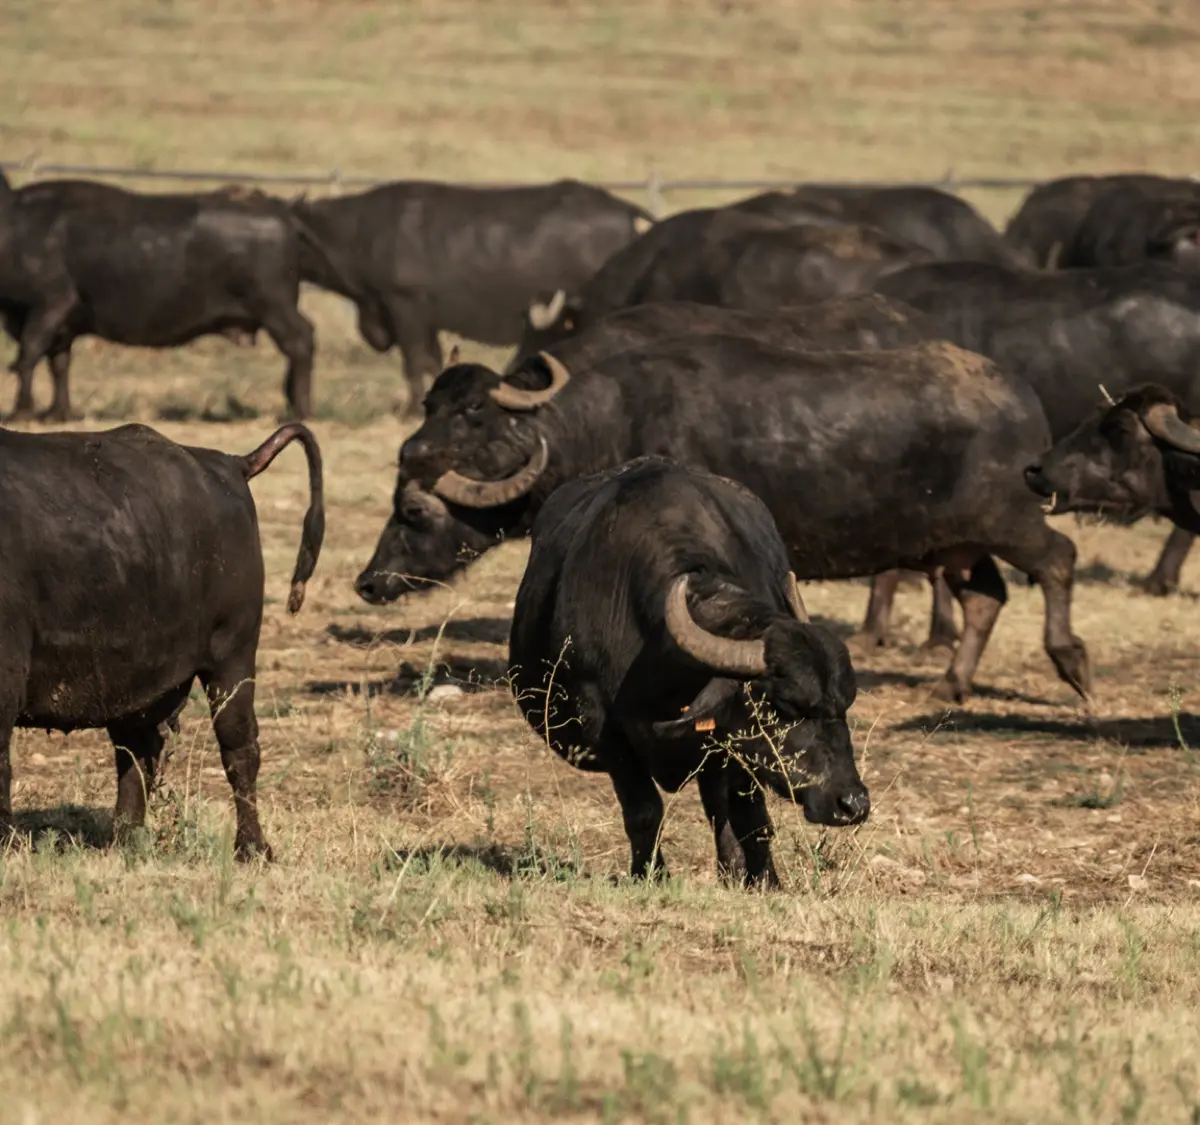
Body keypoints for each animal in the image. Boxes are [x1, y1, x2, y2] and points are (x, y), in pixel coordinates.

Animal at [0, 421, 324, 859]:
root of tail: (228, 465)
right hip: (132, 676)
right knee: (139, 750)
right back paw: (125, 838)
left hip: (233, 654)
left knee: (239, 746)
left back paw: (252, 846)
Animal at [288, 179, 654, 411]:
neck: (362, 233)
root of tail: (623, 210)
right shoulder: (426, 321)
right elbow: (432, 362)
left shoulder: (404, 307)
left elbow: (413, 362)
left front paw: (409, 409)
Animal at [364, 339, 1090, 704]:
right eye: (432, 406)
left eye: (414, 509)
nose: (369, 582)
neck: (606, 421)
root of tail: (1022, 397)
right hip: (958, 546)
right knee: (986, 597)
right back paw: (952, 684)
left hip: (1011, 520)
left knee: (1058, 558)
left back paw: (1072, 665)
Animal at [509, 456, 869, 884]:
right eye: (784, 707)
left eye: (845, 705)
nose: (853, 803)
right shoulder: (603, 727)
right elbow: (644, 811)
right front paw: (650, 875)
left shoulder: (733, 746)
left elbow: (751, 818)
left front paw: (764, 880)